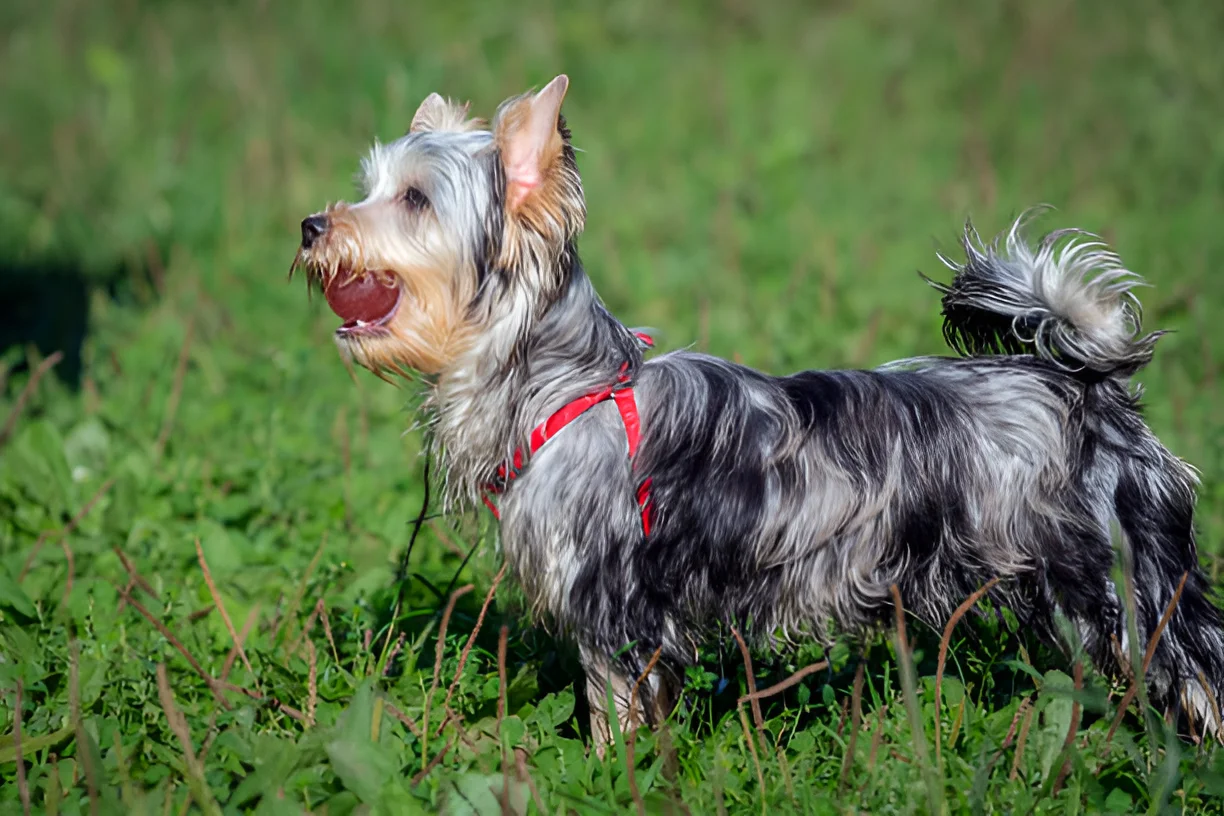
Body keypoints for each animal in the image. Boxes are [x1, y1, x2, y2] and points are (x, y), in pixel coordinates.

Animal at [293, 74, 1224, 748]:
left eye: (414, 200)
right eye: (368, 188)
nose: (309, 224)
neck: (564, 388)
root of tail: (1088, 388)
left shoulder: (617, 610)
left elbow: (616, 716)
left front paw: (612, 778)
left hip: (1115, 585)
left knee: (1191, 670)